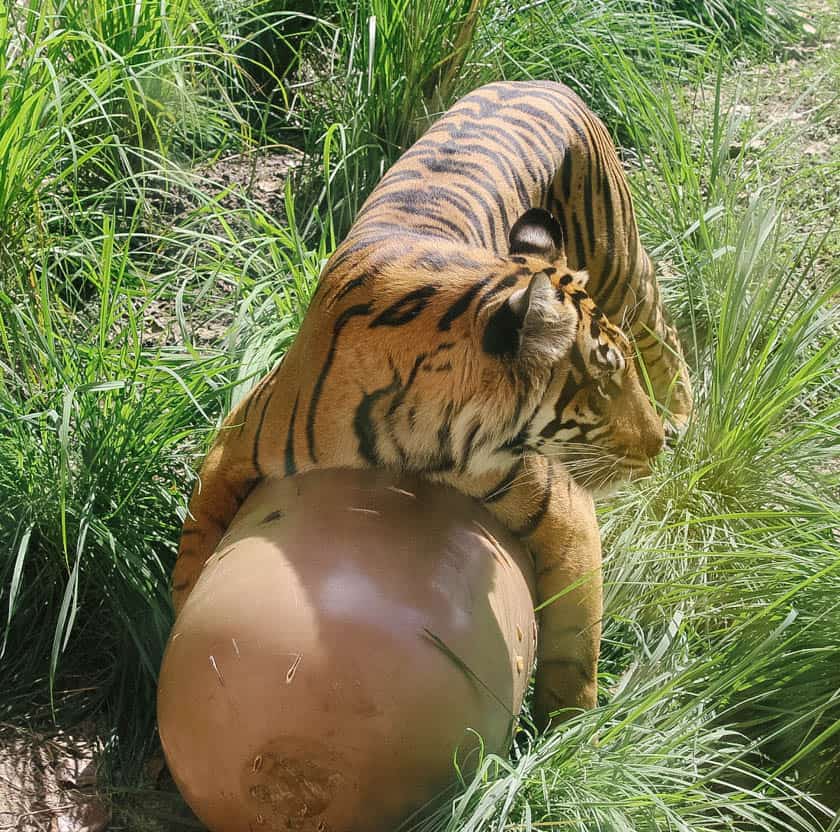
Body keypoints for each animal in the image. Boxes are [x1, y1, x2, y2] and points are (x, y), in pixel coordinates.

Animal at [171, 78, 688, 728]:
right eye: (601, 385)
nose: (655, 445)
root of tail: (541, 79)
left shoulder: (564, 505)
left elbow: (575, 643)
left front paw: (565, 743)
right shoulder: (236, 438)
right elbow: (193, 549)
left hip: (621, 266)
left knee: (669, 338)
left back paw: (686, 420)